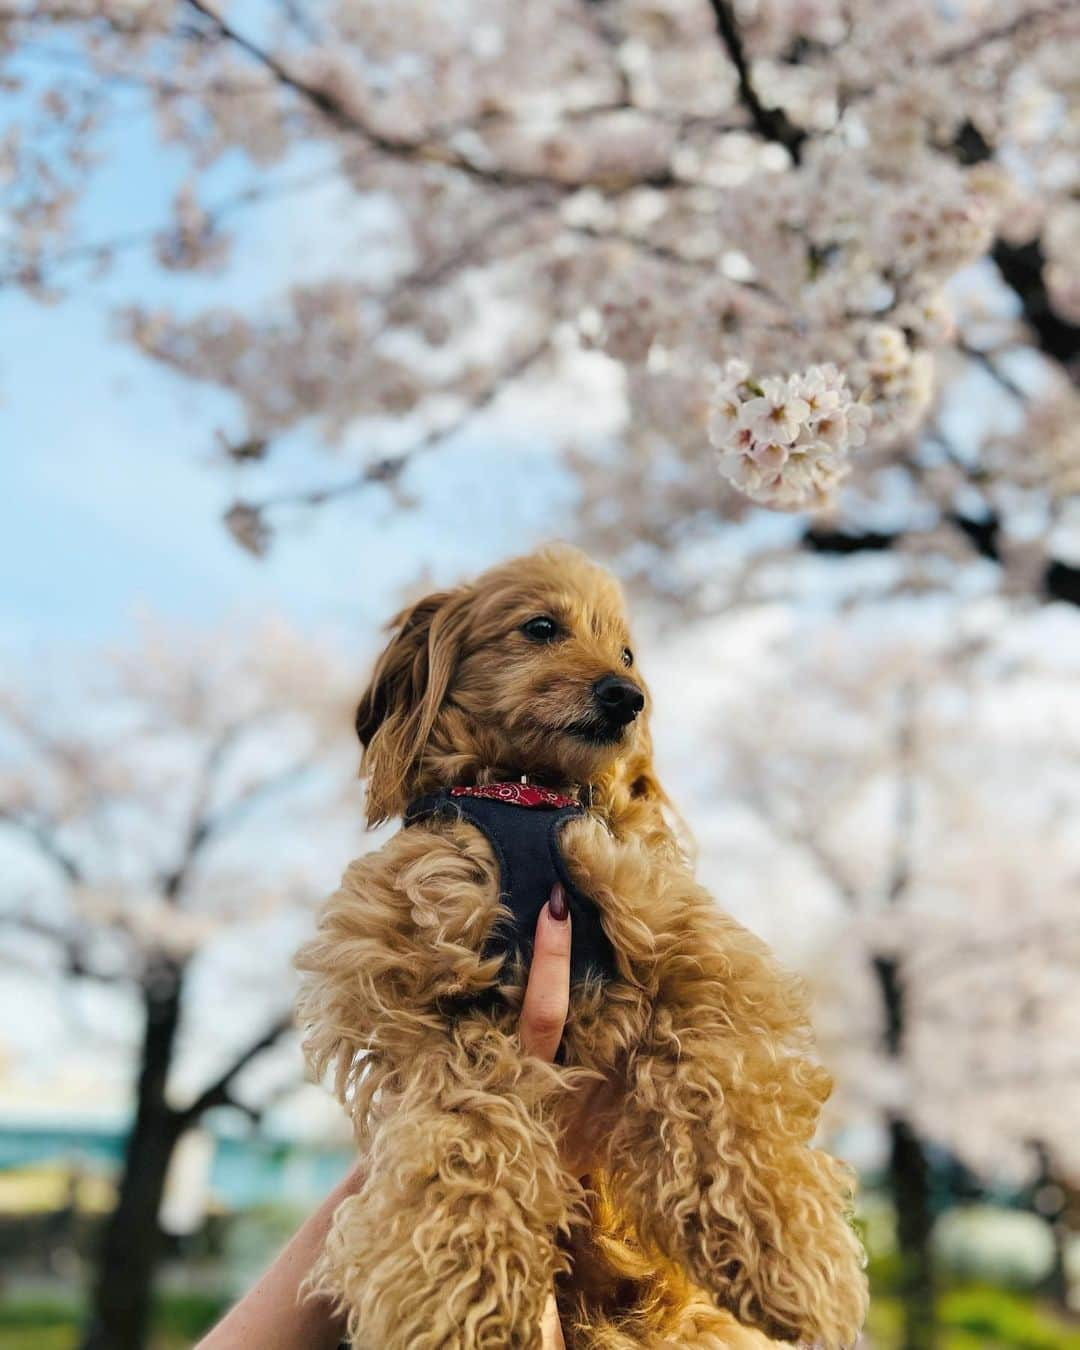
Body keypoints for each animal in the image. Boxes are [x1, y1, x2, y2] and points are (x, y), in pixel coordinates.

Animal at [297, 542, 869, 1344]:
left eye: (628, 654)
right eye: (541, 627)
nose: (627, 696)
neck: (526, 793)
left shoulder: (686, 946)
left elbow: (723, 1093)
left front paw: (791, 1255)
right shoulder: (420, 980)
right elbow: (469, 1124)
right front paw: (458, 1294)